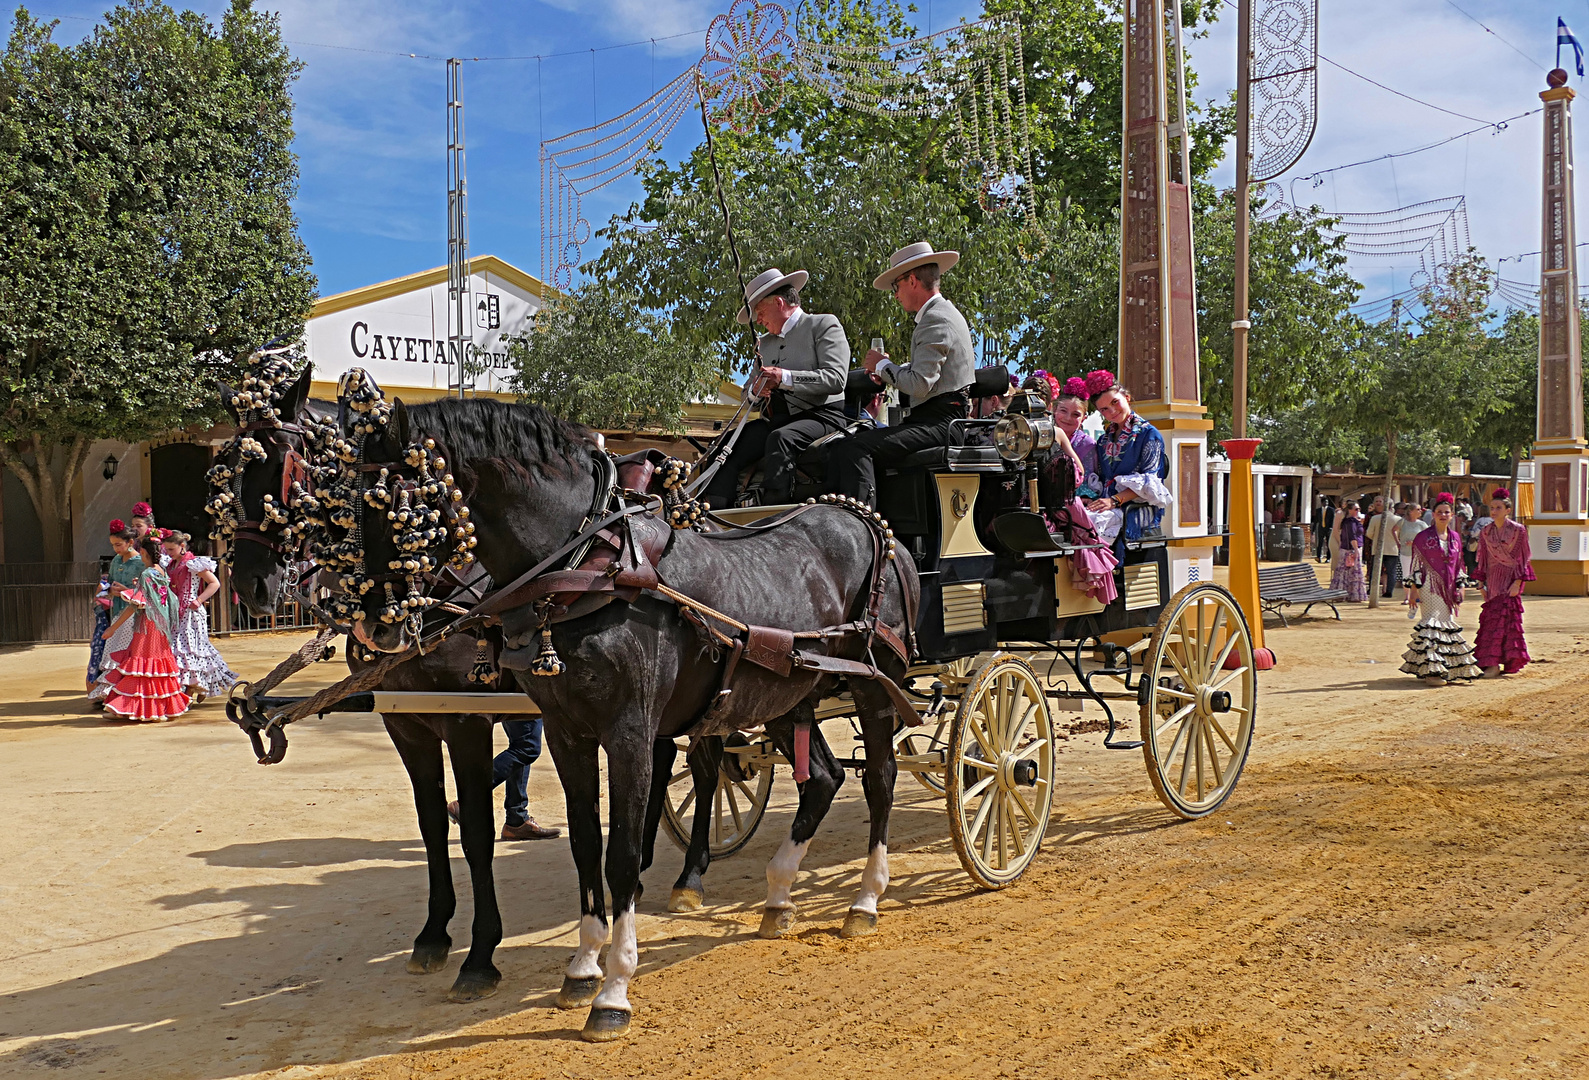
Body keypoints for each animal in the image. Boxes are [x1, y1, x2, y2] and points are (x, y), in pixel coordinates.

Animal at [352, 400, 915, 1041]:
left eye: (401, 504)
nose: (375, 627)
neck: (588, 569)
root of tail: (871, 525)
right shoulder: (566, 734)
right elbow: (583, 845)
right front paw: (581, 965)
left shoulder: (627, 733)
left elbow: (619, 852)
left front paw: (614, 988)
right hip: (784, 693)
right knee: (822, 777)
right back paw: (778, 896)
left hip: (873, 687)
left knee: (880, 780)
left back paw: (865, 900)